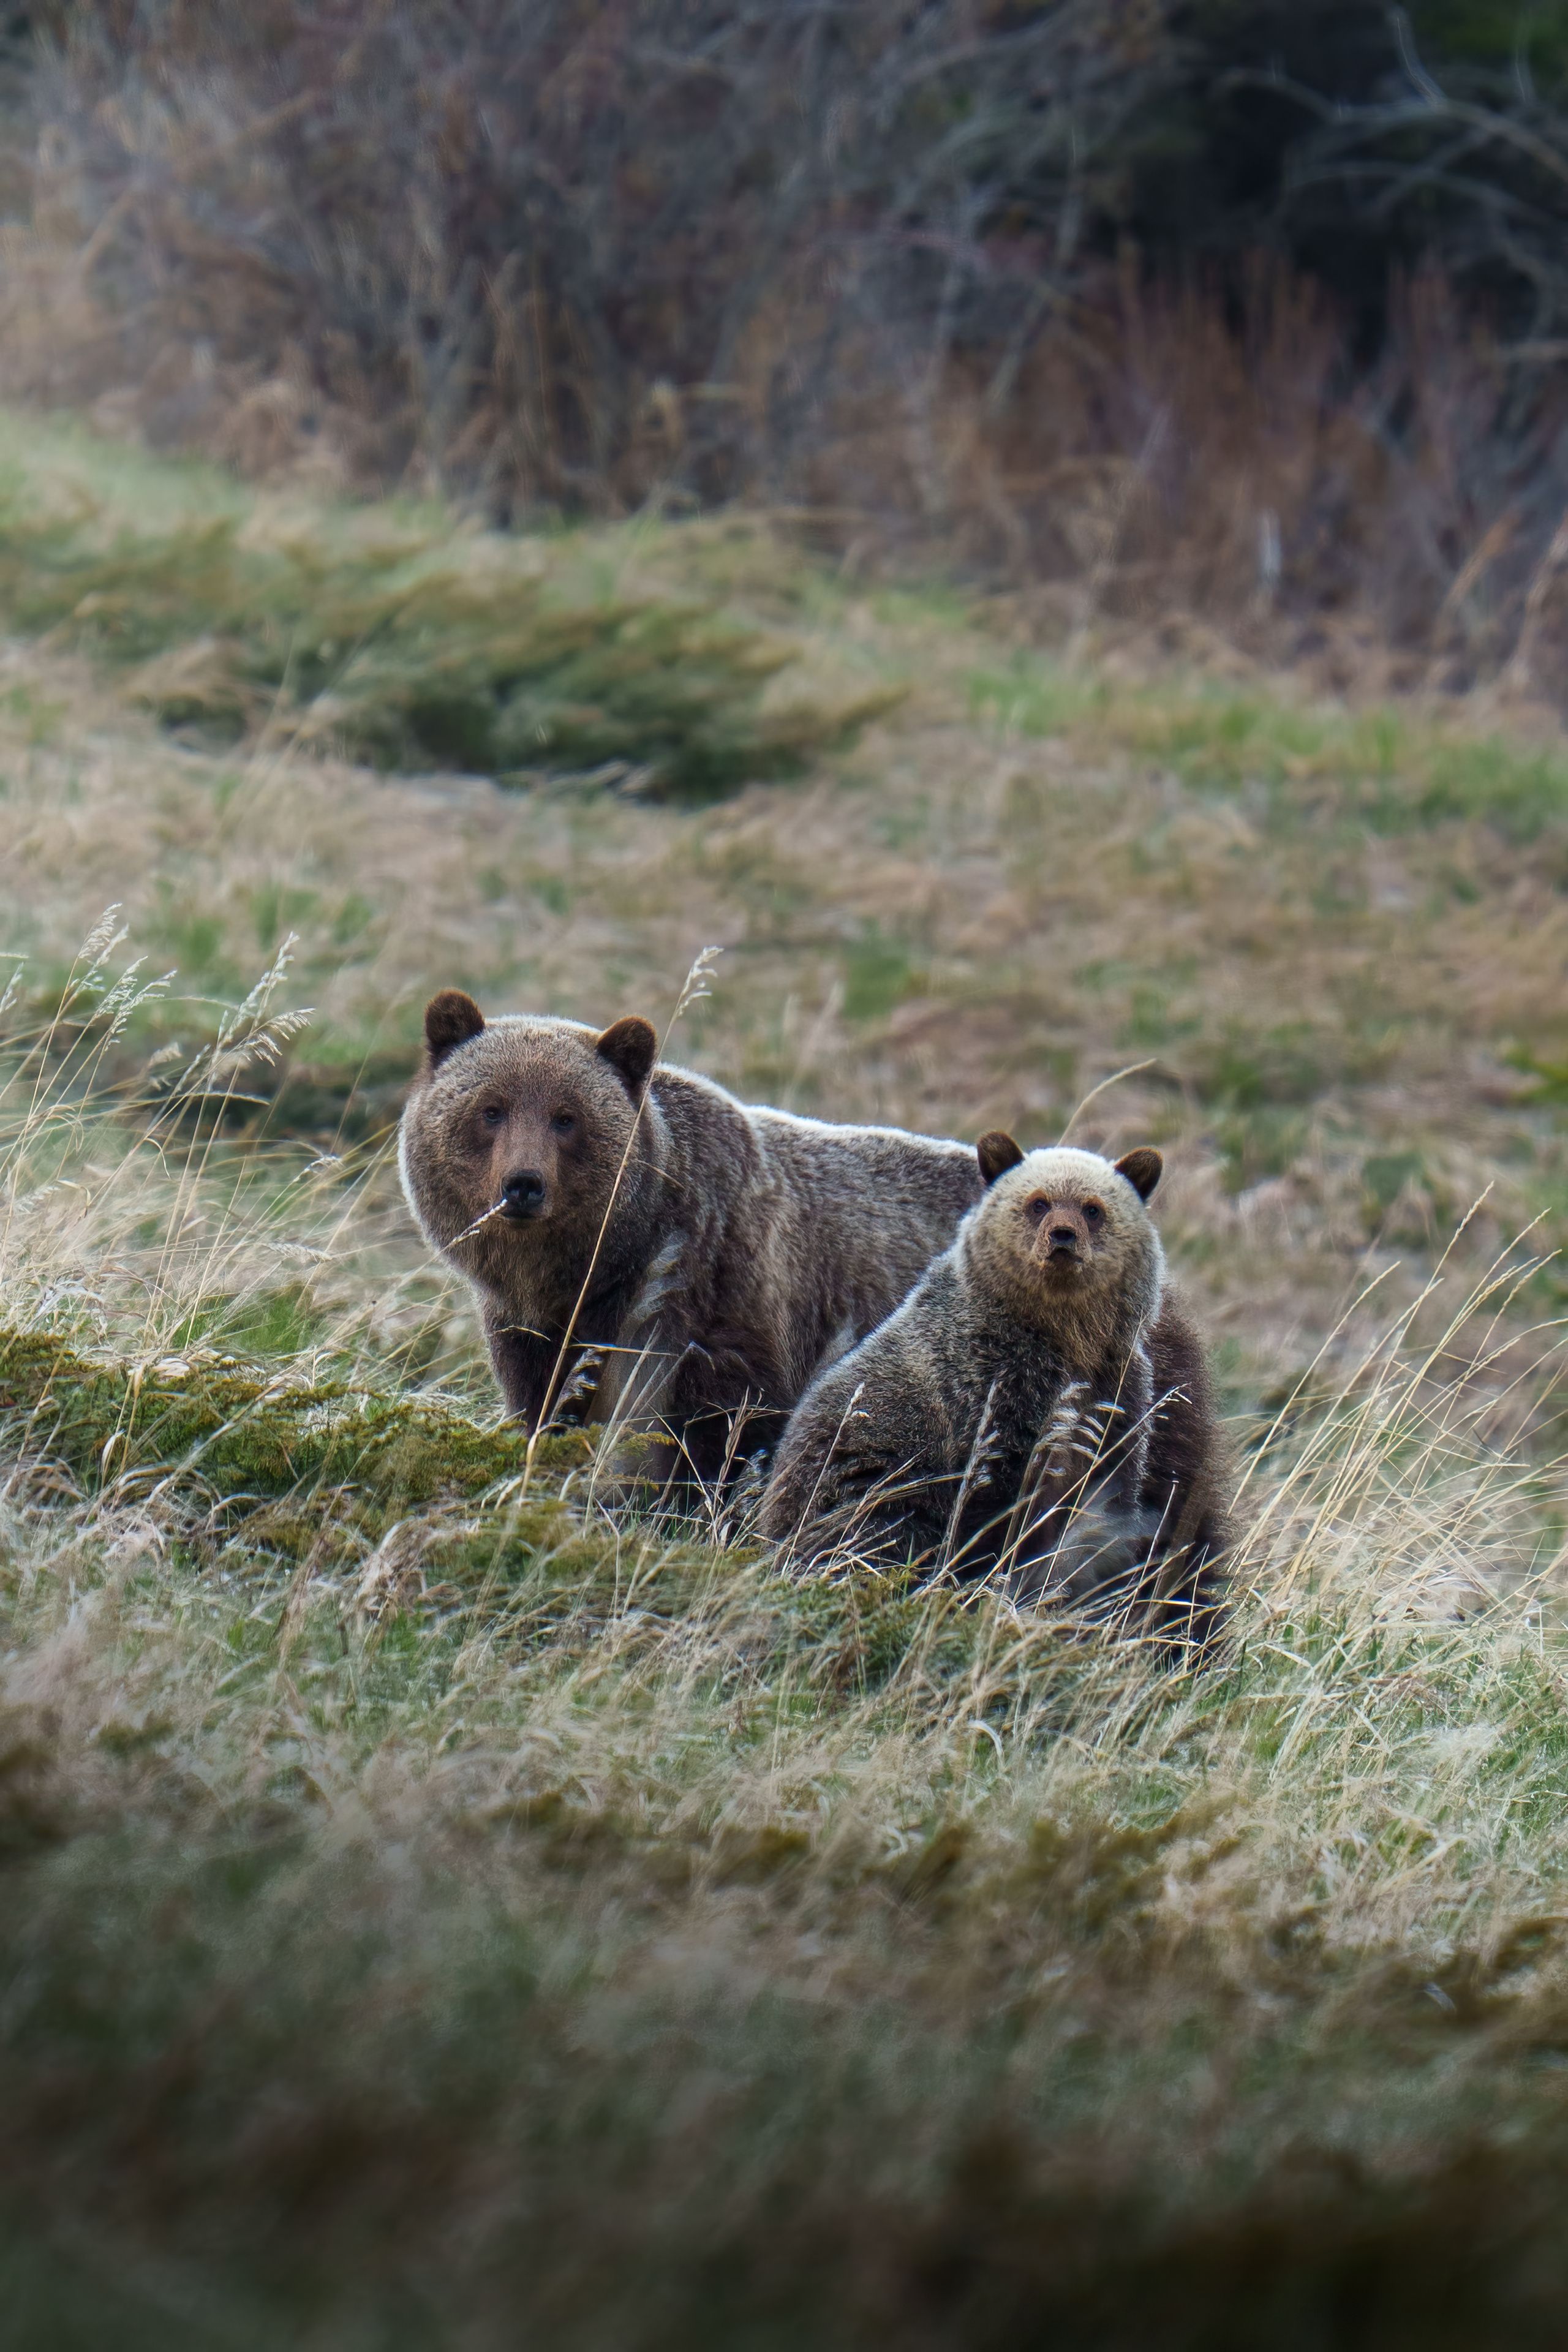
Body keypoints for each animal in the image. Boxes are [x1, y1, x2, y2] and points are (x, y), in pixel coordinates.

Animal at [398, 990, 985, 1482]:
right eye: (490, 1109)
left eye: (566, 1117)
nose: (523, 1185)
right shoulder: (532, 1328)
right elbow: (548, 1406)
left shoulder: (718, 1299)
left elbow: (723, 1429)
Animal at [758, 1133, 1230, 1645]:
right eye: (1038, 1202)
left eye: (1092, 1208)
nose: (1062, 1236)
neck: (1063, 1340)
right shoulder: (986, 1396)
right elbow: (993, 1510)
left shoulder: (1120, 1395)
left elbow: (1104, 1503)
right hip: (856, 1476)